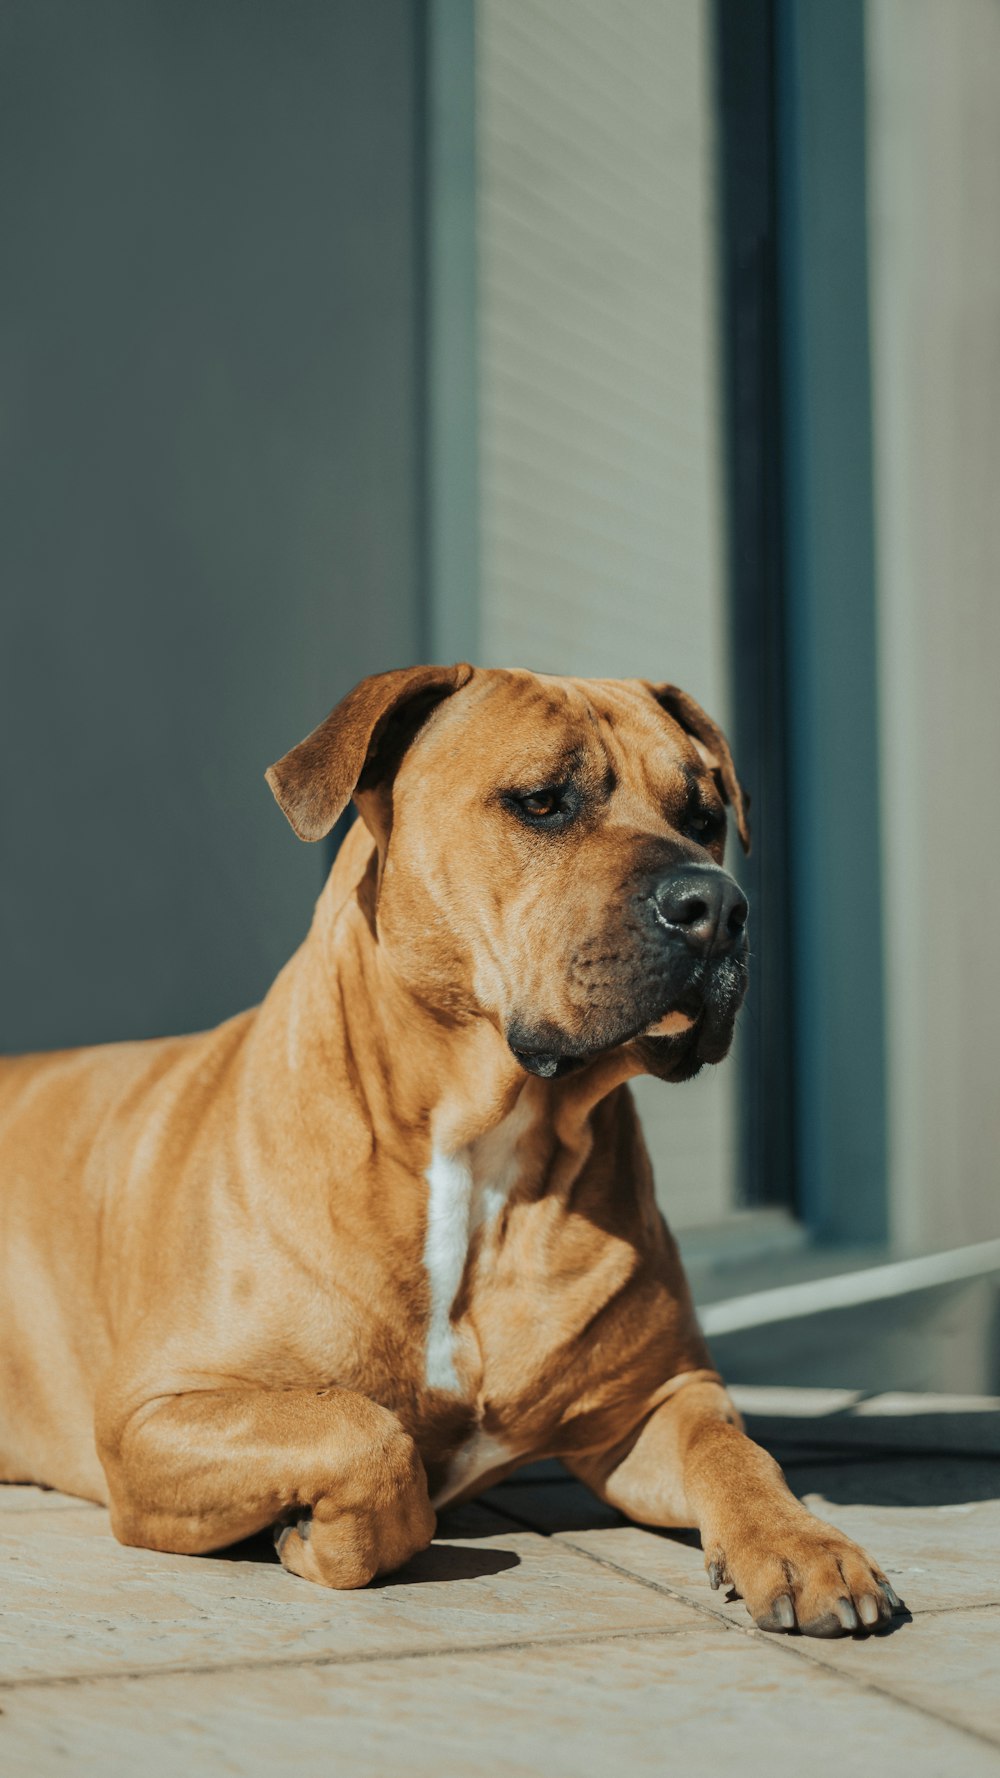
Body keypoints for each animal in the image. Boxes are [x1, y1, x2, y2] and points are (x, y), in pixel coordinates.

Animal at [0, 668, 900, 1635]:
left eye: (703, 816)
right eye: (541, 802)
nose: (718, 907)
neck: (481, 1150)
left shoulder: (661, 1397)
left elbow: (736, 1450)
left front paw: (801, 1542)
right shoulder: (152, 1411)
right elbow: (368, 1438)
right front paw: (311, 1535)